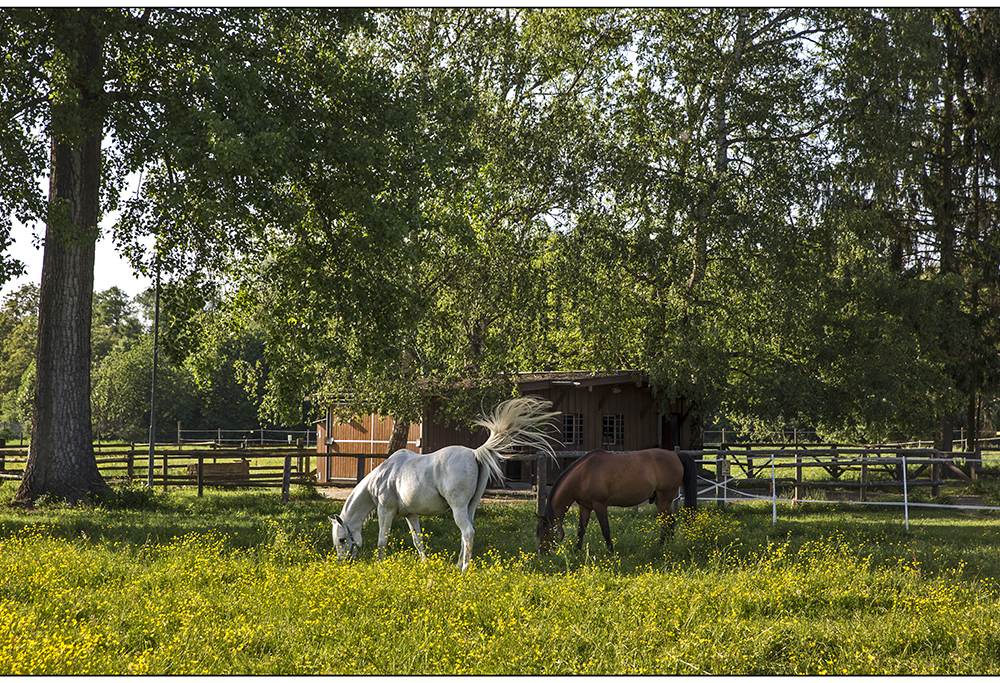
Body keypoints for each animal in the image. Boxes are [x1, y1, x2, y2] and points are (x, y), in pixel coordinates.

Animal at [332, 396, 560, 572]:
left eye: (342, 540)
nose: (343, 563)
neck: (384, 476)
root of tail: (475, 453)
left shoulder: (385, 511)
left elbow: (382, 540)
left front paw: (380, 564)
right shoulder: (410, 515)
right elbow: (418, 541)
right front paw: (425, 564)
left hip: (458, 508)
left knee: (468, 532)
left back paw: (465, 568)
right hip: (470, 507)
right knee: (465, 534)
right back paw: (459, 564)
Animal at [536, 448, 700, 556]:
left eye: (546, 532)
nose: (541, 554)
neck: (584, 475)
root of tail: (675, 455)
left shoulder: (600, 505)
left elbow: (606, 530)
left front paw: (611, 552)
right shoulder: (585, 507)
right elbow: (581, 530)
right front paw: (576, 551)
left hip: (664, 499)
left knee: (668, 522)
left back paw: (663, 547)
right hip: (661, 501)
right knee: (668, 522)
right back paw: (665, 547)